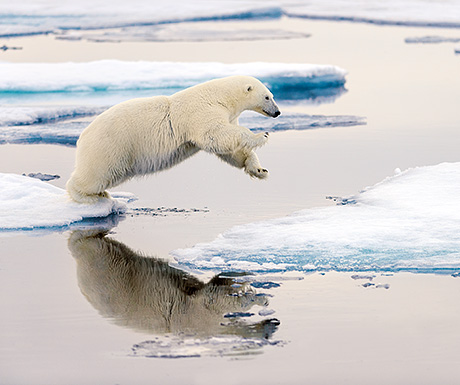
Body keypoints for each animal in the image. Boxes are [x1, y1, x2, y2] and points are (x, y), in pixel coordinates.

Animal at [64, 74, 280, 201]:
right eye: (268, 97)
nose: (277, 112)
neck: (220, 96)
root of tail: (82, 136)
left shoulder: (227, 115)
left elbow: (230, 149)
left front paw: (259, 170)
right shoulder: (202, 112)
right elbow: (215, 135)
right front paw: (262, 135)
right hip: (111, 147)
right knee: (96, 173)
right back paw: (89, 196)